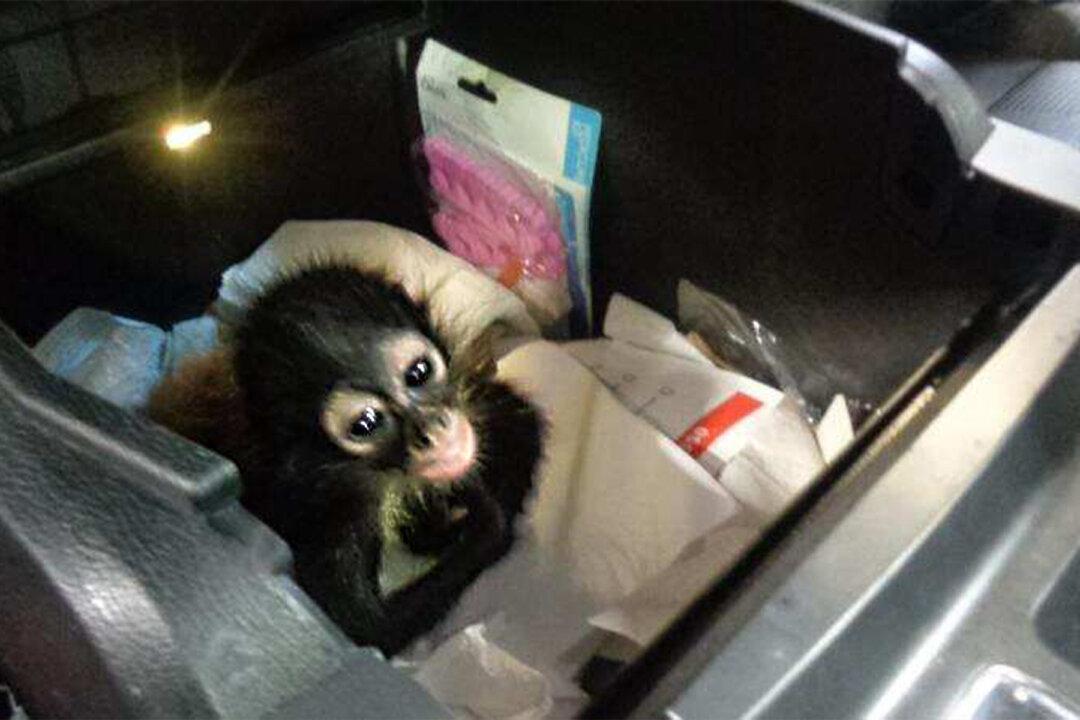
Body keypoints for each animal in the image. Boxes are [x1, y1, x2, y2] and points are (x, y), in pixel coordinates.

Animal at [148, 265, 543, 656]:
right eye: (365, 423)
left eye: (418, 373)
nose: (432, 430)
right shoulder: (338, 504)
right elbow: (364, 629)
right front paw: (484, 520)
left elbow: (522, 418)